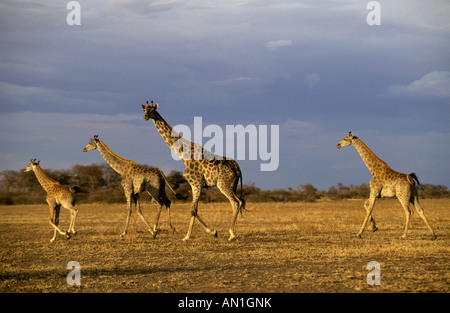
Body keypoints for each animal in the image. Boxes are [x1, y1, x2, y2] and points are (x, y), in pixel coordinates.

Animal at [142, 100, 244, 241]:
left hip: (223, 184)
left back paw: (232, 234)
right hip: (232, 184)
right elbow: (194, 210)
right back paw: (232, 232)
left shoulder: (196, 183)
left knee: (235, 202)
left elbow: (193, 210)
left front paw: (190, 236)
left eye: (152, 110)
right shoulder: (196, 184)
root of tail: (238, 168)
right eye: (144, 110)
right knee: (239, 202)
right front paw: (207, 232)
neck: (184, 156)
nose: (145, 117)